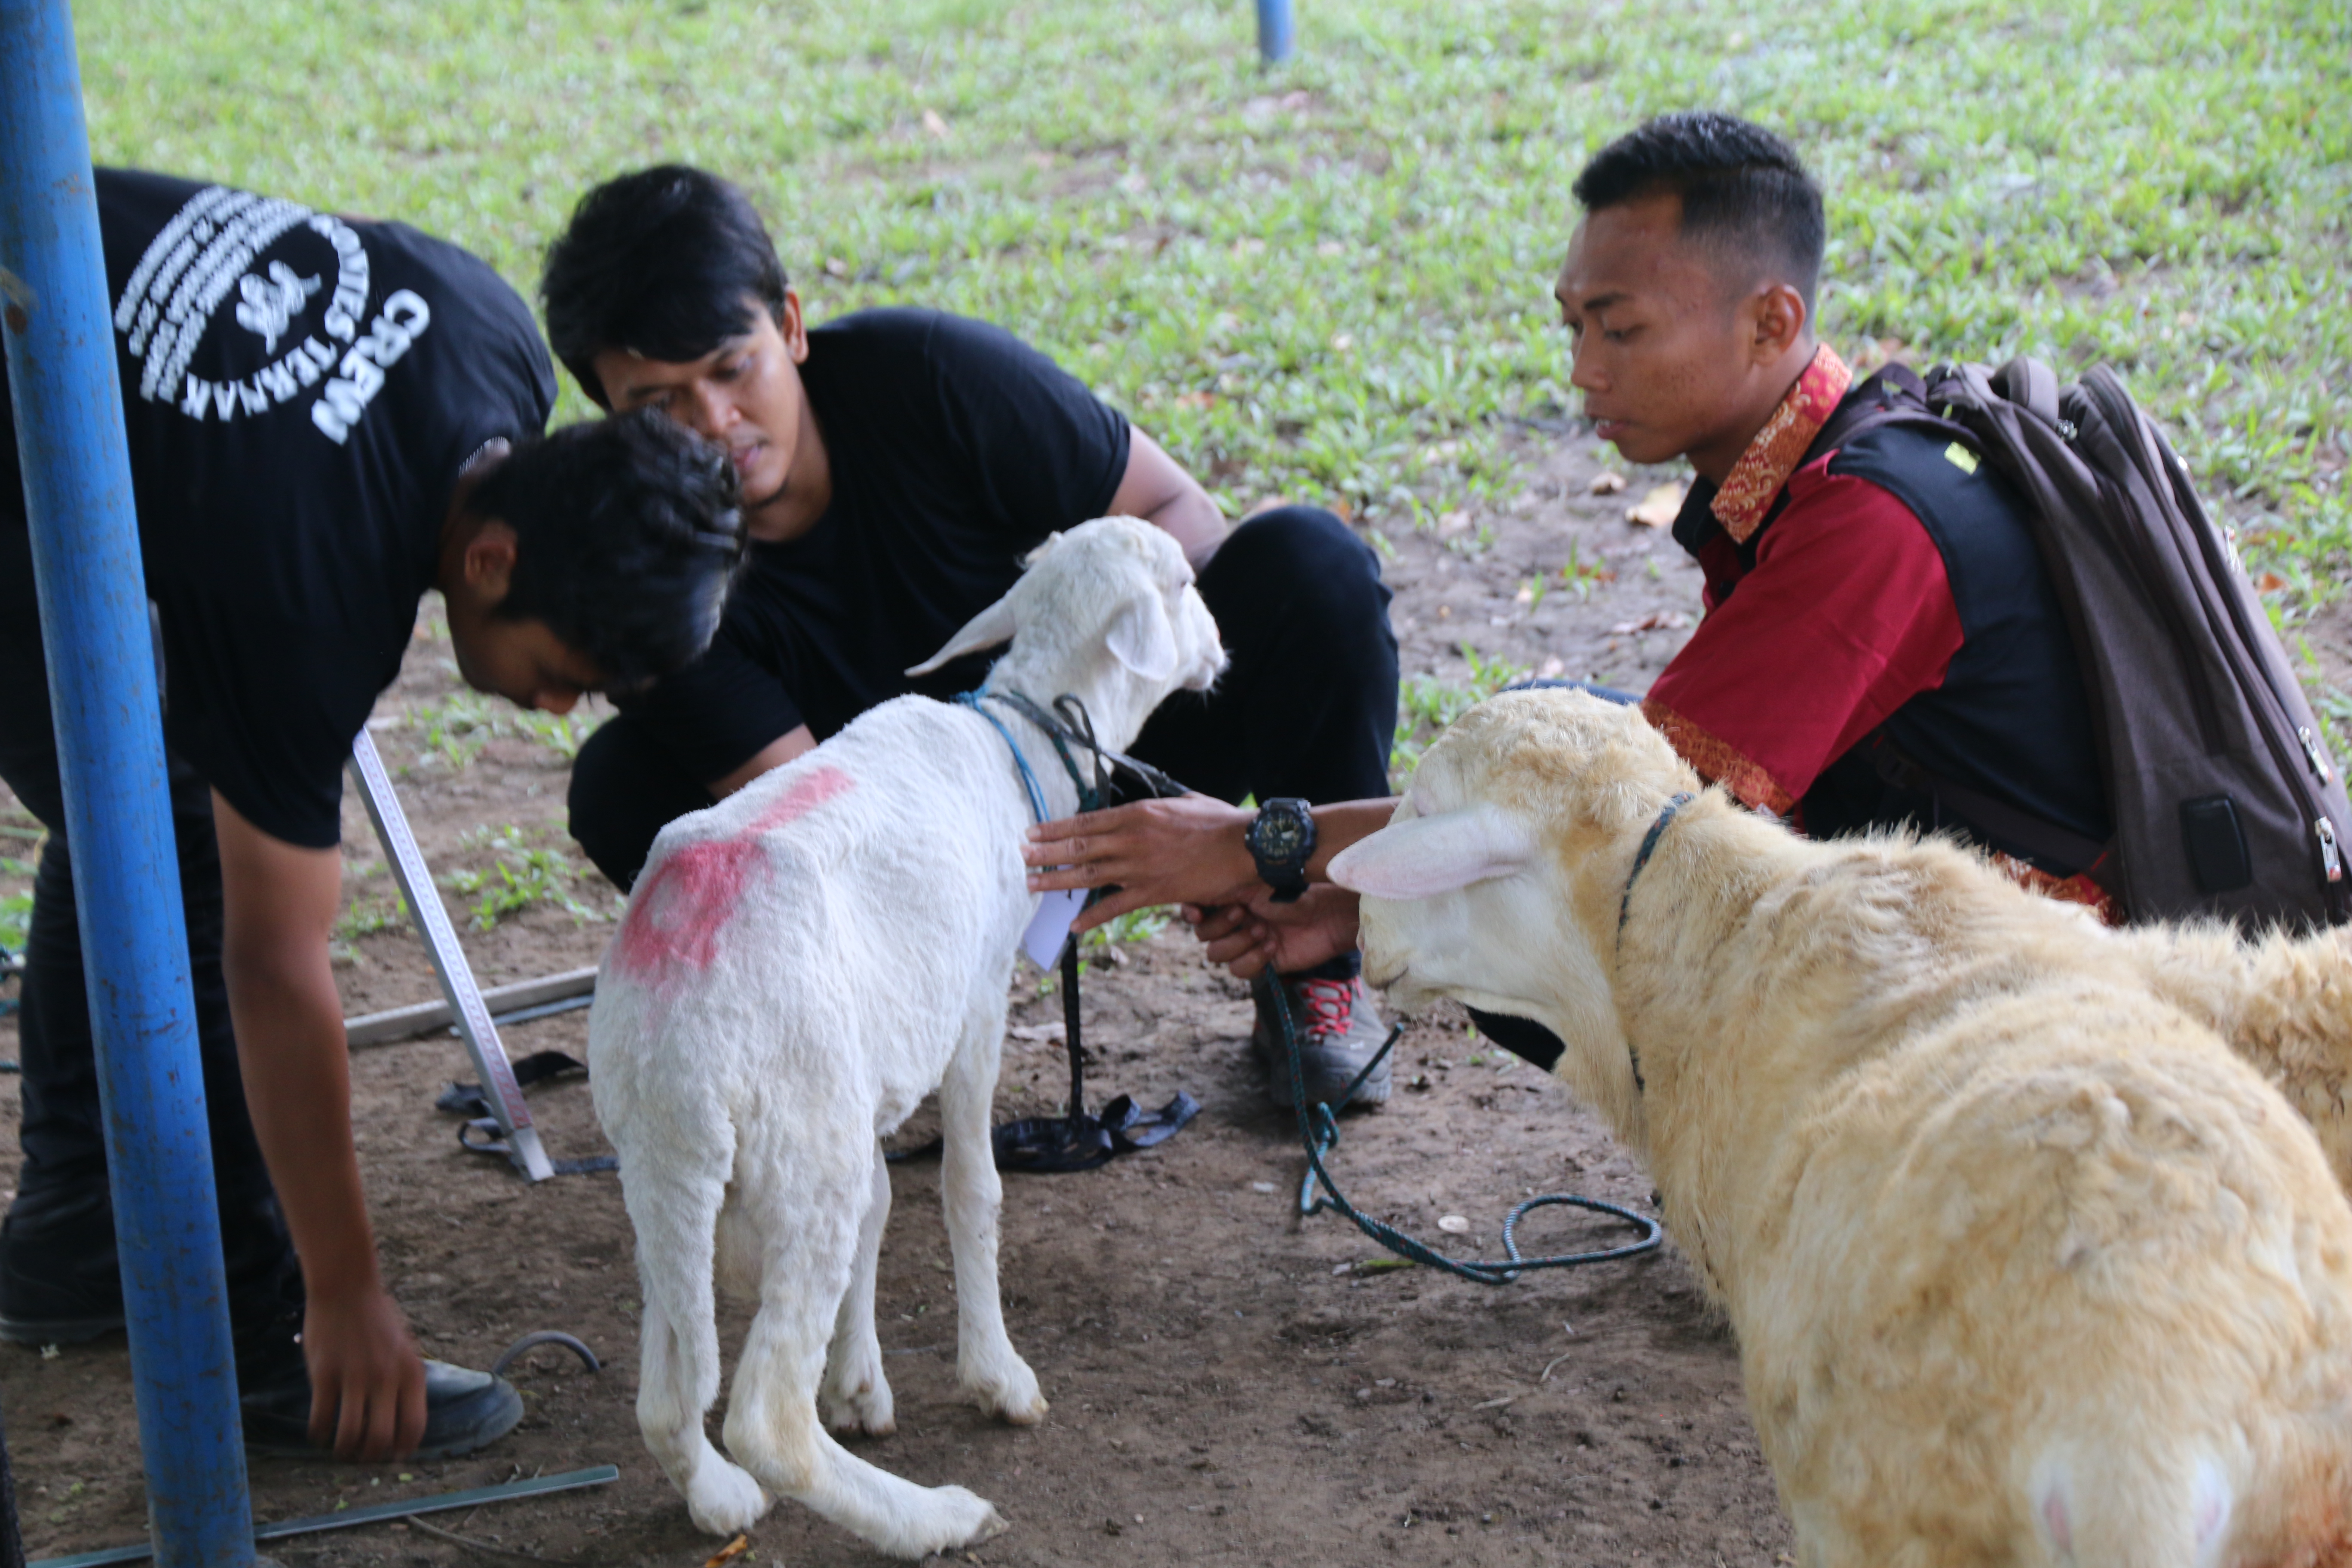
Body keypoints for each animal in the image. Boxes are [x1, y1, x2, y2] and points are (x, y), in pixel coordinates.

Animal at [585, 522, 1223, 1551]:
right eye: (1183, 583)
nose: (1221, 651)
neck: (1018, 743)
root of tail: (675, 1034)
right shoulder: (975, 1003)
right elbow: (972, 1190)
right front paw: (998, 1377)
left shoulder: (875, 1061)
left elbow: (885, 1205)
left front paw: (860, 1385)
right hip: (801, 1134)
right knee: (766, 1416)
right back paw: (933, 1517)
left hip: (665, 1167)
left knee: (669, 1391)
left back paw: (717, 1495)